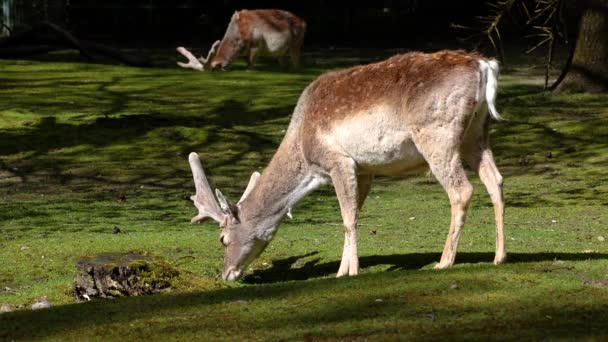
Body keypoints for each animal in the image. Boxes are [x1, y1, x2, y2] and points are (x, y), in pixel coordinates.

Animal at [178, 9, 306, 71]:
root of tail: (304, 23)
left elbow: (250, 65)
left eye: (214, 69)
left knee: (297, 61)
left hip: (297, 43)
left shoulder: (256, 44)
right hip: (282, 52)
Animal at [188, 50, 506, 280]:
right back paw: (499, 256)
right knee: (495, 179)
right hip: (477, 131)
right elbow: (355, 212)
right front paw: (343, 269)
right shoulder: (364, 169)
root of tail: (483, 64)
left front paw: (350, 271)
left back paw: (444, 262)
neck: (305, 154)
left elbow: (347, 217)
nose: (227, 274)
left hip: (437, 136)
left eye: (222, 239)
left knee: (461, 190)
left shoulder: (338, 160)